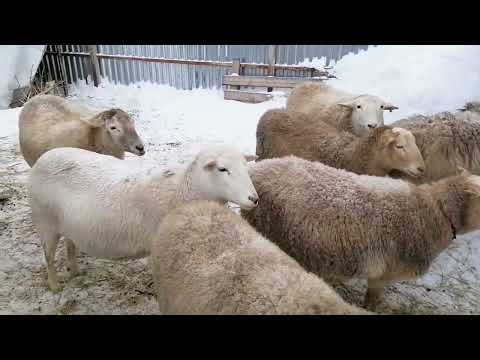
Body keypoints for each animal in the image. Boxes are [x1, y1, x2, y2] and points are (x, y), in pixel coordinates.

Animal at [28, 146, 258, 292]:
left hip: (67, 224)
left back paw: (75, 271)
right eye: (222, 169)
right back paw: (55, 286)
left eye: (245, 167)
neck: (185, 189)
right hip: (45, 222)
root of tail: (44, 157)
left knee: (70, 244)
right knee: (48, 256)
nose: (254, 199)